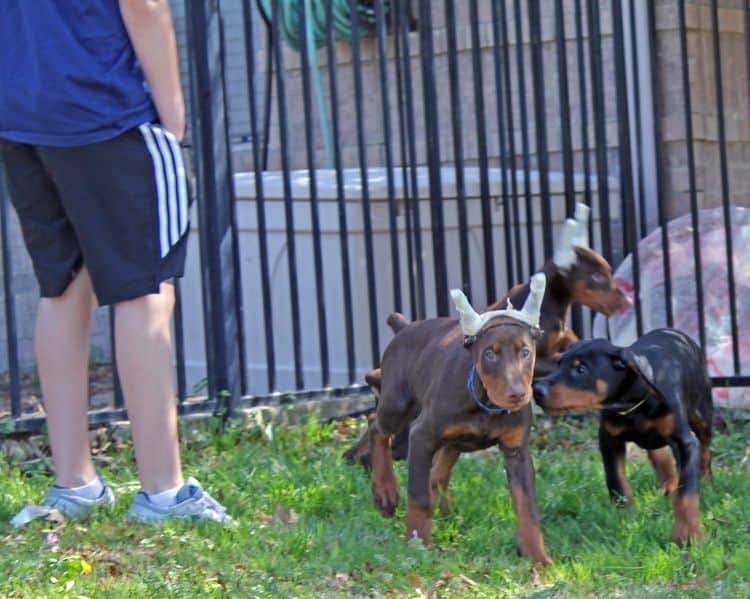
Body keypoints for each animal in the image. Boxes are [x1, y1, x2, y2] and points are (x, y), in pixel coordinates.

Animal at [370, 274, 552, 564]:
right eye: (489, 353)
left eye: (525, 352)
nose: (517, 395)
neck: (485, 404)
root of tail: (406, 327)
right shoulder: (421, 435)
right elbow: (419, 496)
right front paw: (418, 544)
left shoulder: (517, 452)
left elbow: (527, 507)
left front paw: (537, 556)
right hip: (397, 404)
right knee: (376, 428)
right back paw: (385, 491)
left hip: (454, 441)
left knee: (437, 473)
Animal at [532, 330, 712, 548]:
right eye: (559, 364)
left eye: (581, 369)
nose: (536, 389)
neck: (633, 404)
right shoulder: (609, 440)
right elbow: (616, 480)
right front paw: (625, 516)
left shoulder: (685, 443)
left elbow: (687, 492)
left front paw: (688, 534)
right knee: (658, 452)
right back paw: (669, 482)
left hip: (702, 414)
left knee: (705, 448)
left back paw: (707, 480)